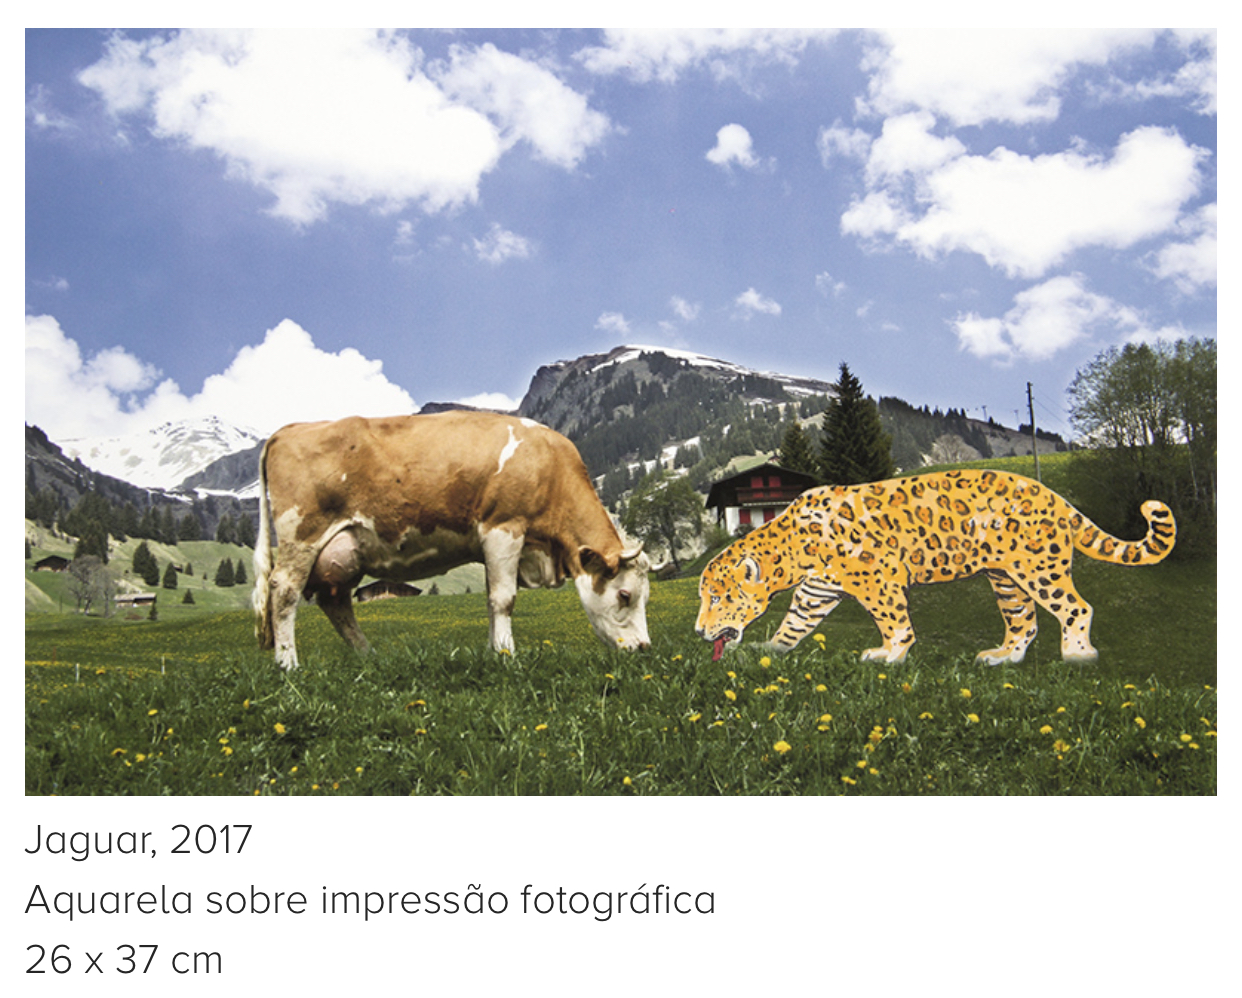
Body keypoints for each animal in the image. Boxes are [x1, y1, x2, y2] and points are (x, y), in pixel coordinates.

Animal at [696, 469, 1175, 665]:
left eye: (716, 598)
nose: (699, 631)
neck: (793, 548)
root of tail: (1055, 496)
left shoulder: (878, 579)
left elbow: (894, 622)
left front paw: (889, 656)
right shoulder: (818, 589)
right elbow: (795, 622)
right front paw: (771, 650)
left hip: (1037, 569)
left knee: (1076, 608)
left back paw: (1077, 656)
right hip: (1006, 579)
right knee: (1024, 621)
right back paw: (1002, 657)